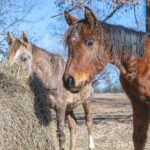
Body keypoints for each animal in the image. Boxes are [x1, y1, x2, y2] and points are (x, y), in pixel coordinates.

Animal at [63, 6, 150, 150]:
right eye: (68, 44)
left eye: (90, 42)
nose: (68, 80)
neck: (142, 62)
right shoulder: (139, 104)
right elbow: (138, 140)